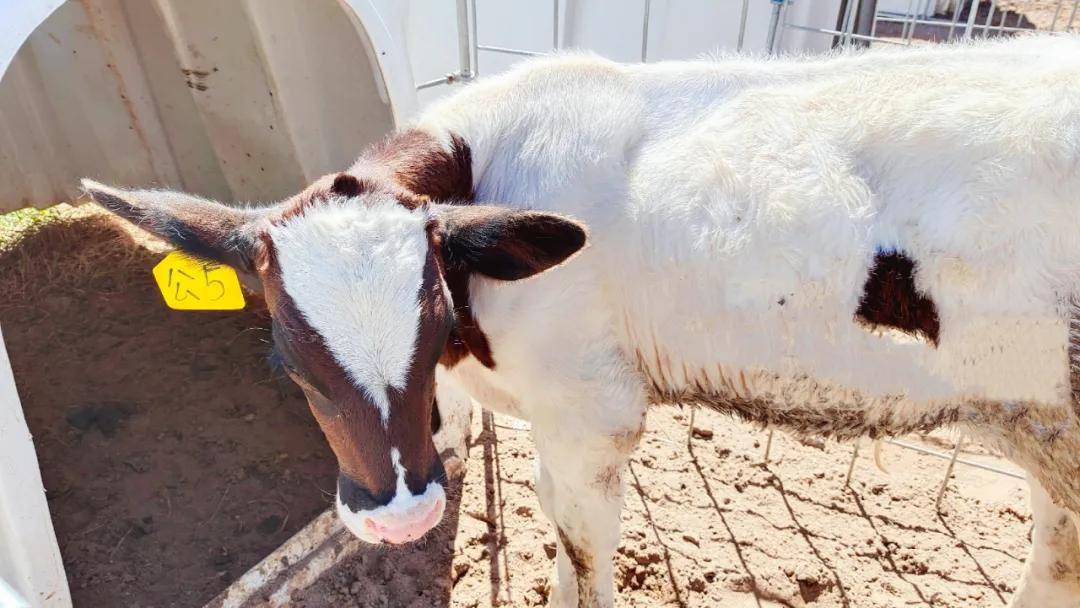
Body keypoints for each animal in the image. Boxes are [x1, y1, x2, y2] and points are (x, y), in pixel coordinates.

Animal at [86, 35, 1080, 604]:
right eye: (287, 365)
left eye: (429, 321)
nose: (403, 519)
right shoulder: (547, 411)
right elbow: (551, 514)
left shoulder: (593, 407)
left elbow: (586, 539)